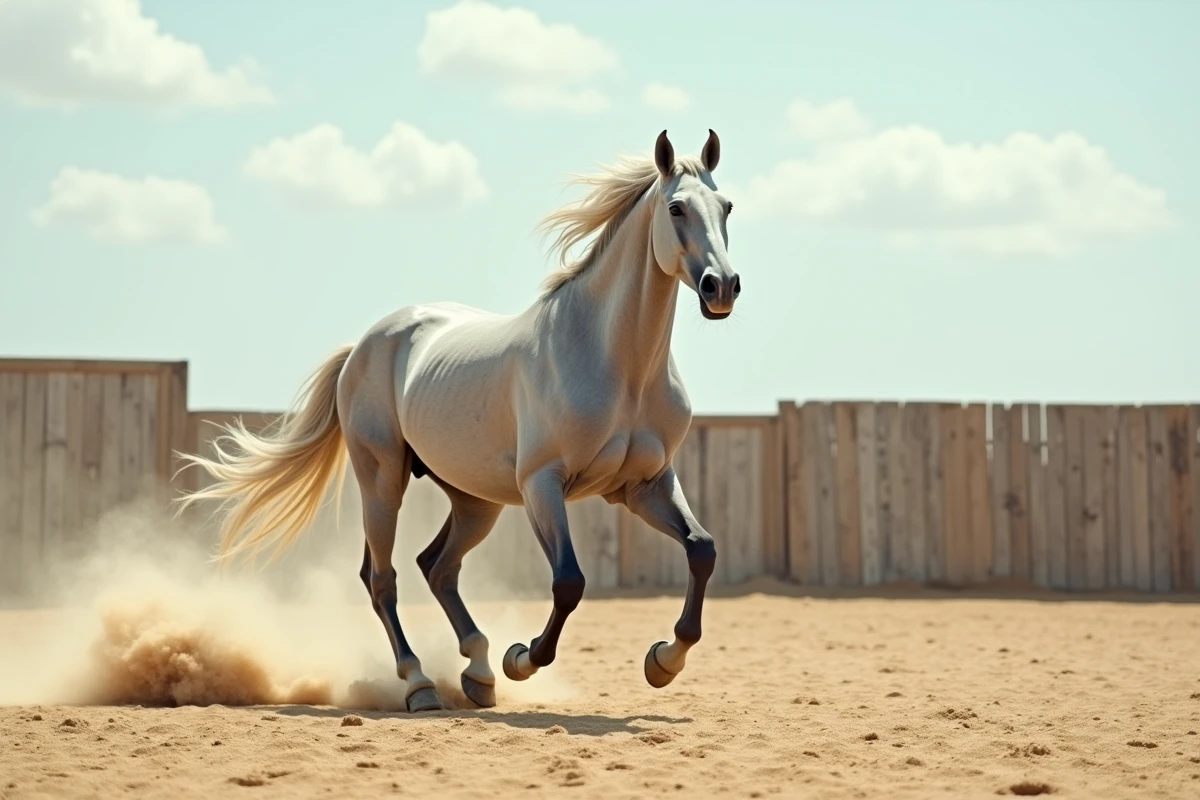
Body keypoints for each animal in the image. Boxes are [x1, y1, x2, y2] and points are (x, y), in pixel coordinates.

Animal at [177, 129, 743, 713]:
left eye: (726, 206)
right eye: (676, 207)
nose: (721, 287)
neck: (614, 363)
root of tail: (364, 345)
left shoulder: (644, 485)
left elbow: (702, 550)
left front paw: (663, 661)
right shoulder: (543, 485)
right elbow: (568, 581)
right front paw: (522, 658)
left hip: (475, 500)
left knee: (437, 566)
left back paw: (478, 672)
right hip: (382, 481)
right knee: (382, 578)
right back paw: (421, 683)